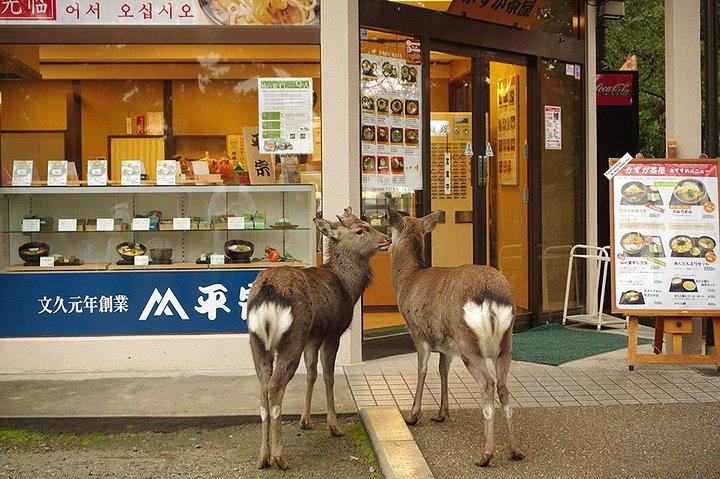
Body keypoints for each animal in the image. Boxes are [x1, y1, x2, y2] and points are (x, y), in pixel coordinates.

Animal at [247, 207, 390, 470]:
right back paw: (280, 457)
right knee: (275, 386)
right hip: (291, 338)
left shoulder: (312, 337)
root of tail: (268, 292)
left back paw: (263, 457)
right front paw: (334, 426)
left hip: (257, 341)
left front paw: (305, 421)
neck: (348, 288)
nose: (387, 238)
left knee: (263, 387)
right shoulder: (333, 332)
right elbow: (329, 376)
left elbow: (311, 373)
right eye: (360, 230)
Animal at [387, 208, 525, 468]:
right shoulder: (446, 345)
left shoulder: (418, 332)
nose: (385, 245)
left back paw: (486, 455)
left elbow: (422, 370)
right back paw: (515, 450)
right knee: (502, 385)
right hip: (506, 342)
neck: (408, 279)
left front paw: (413, 415)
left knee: (488, 383)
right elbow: (443, 370)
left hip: (468, 342)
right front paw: (442, 413)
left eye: (391, 232)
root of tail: (490, 294)